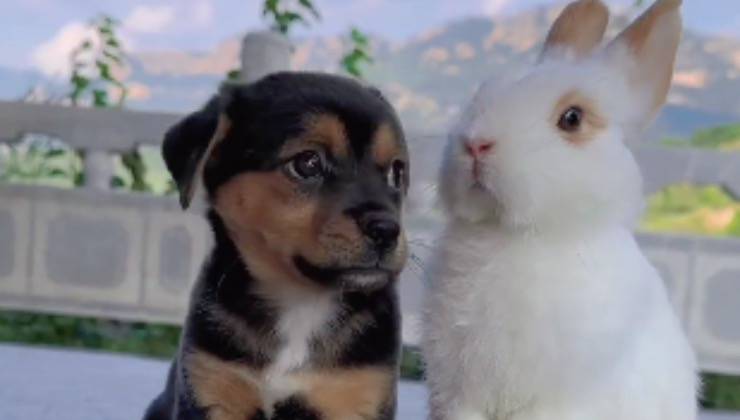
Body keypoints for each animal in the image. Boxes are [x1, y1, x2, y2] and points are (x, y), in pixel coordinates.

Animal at [143, 73, 410, 420]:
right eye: (307, 163)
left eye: (397, 171)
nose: (387, 230)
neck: (300, 304)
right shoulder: (210, 388)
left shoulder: (357, 397)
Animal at [424, 0, 696, 420]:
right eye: (483, 90)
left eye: (572, 118)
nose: (476, 144)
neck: (514, 235)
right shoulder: (460, 396)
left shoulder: (557, 402)